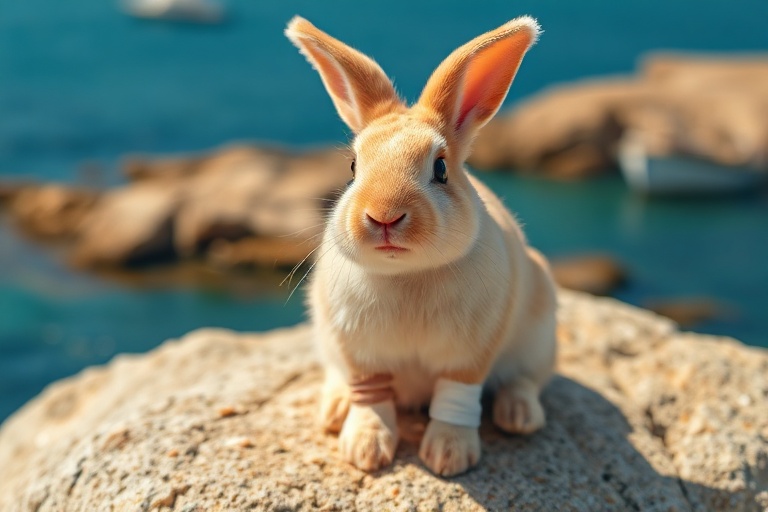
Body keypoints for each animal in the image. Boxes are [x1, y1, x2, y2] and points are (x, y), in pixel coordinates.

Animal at [285, 15, 556, 477]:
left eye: (441, 169)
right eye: (353, 167)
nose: (384, 217)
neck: (405, 275)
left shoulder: (470, 354)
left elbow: (456, 398)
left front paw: (449, 457)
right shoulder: (359, 353)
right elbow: (372, 398)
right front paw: (364, 450)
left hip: (540, 336)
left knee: (525, 379)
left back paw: (518, 416)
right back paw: (334, 409)